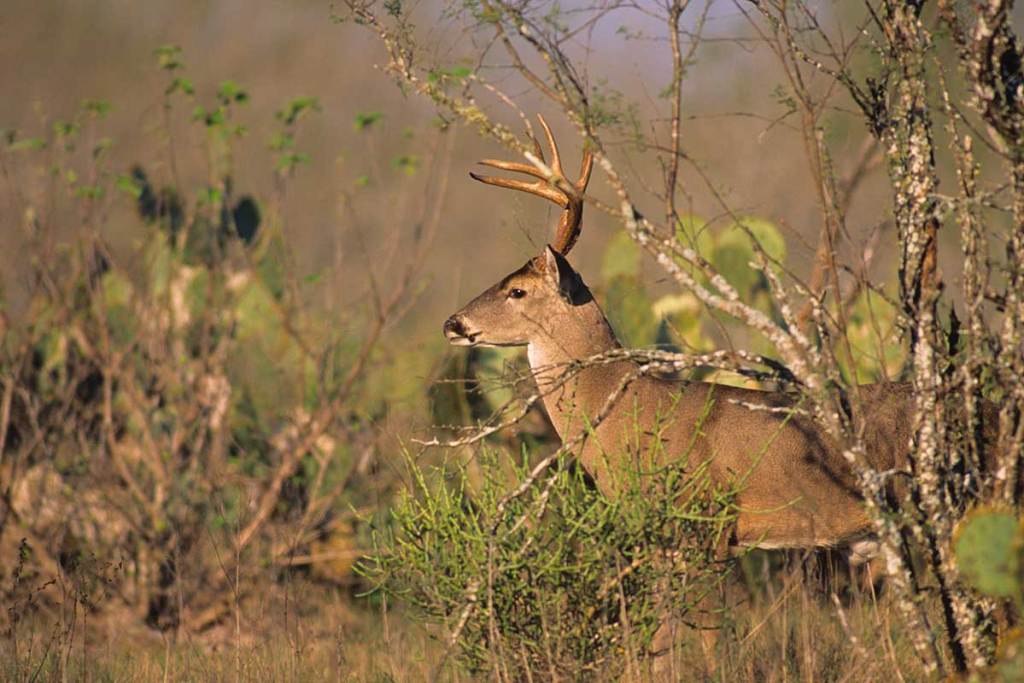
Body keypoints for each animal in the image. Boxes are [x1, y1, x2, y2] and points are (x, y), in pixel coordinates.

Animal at [440, 116, 929, 671]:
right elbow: (660, 636)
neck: (627, 415)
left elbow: (708, 633)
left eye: (517, 289)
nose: (453, 323)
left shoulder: (709, 520)